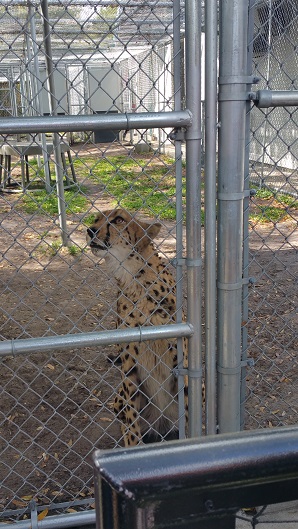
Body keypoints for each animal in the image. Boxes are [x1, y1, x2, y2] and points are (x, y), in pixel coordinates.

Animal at [86, 207, 189, 446]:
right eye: (96, 219)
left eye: (118, 220)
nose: (90, 230)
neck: (133, 276)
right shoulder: (129, 364)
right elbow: (132, 421)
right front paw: (133, 447)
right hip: (119, 397)